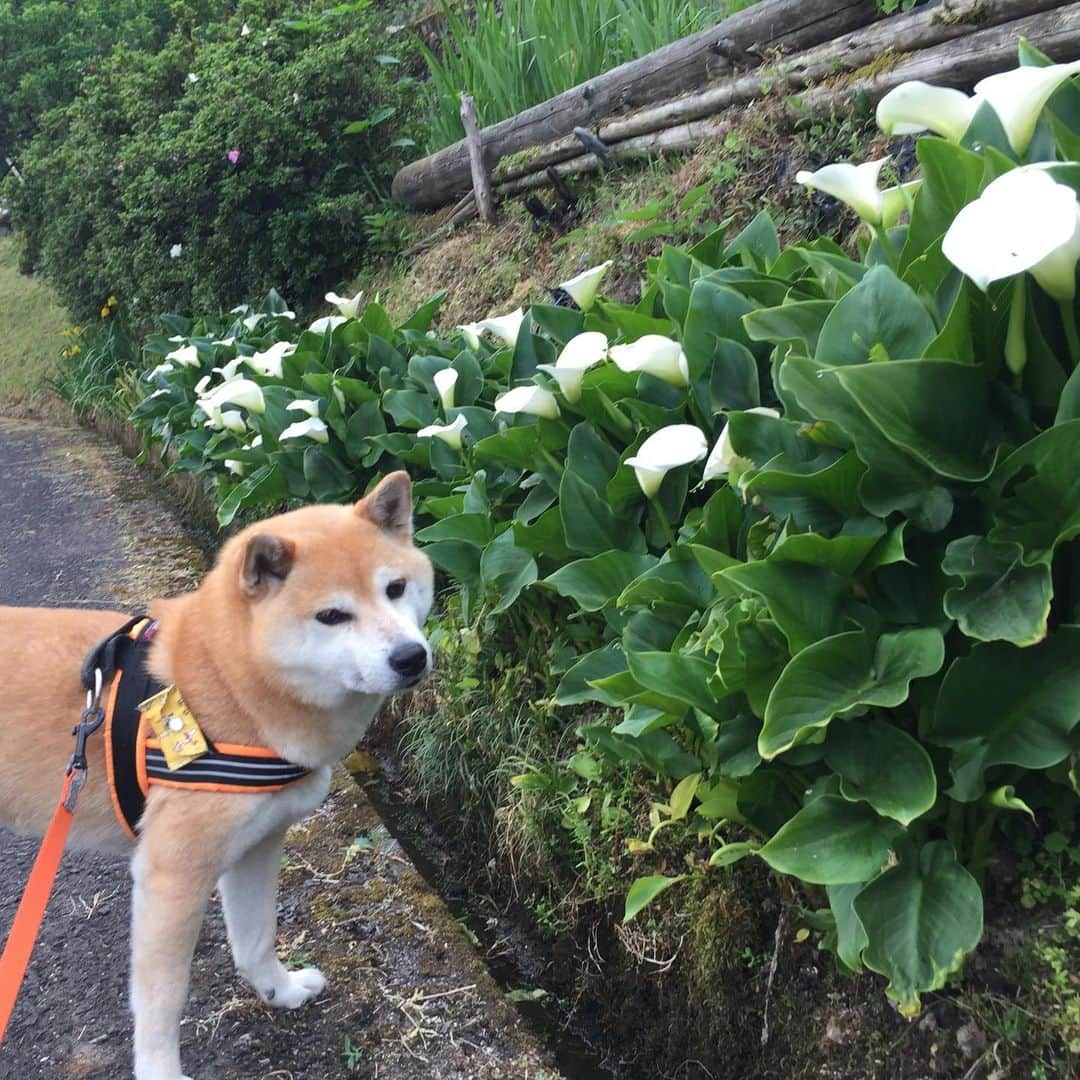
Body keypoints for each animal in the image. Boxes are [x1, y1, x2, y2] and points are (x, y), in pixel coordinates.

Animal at [0, 473, 434, 1080]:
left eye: (395, 588)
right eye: (331, 616)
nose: (410, 657)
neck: (228, 683)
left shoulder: (257, 847)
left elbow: (255, 940)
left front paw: (280, 991)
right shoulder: (172, 874)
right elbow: (162, 998)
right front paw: (161, 1071)